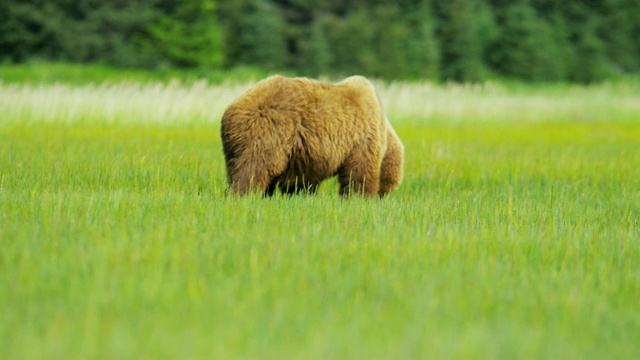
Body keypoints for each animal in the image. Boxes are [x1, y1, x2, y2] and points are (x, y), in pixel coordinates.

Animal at [219, 75, 400, 197]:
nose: (384, 197)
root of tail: (231, 110)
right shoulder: (363, 137)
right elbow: (358, 174)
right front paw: (360, 197)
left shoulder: (305, 156)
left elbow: (301, 182)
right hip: (267, 132)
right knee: (254, 169)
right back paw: (244, 195)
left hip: (234, 147)